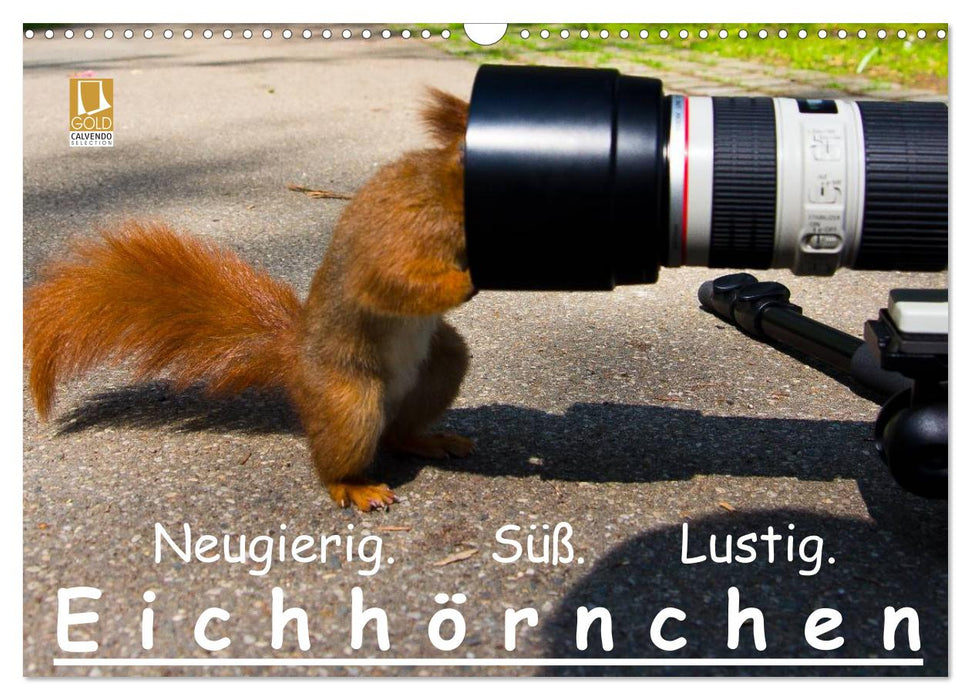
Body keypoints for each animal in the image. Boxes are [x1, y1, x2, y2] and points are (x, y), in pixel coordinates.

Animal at [23, 88, 475, 512]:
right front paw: (466, 280)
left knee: (399, 432)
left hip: (441, 366)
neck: (447, 189)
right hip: (349, 395)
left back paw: (430, 441)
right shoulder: (404, 227)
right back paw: (353, 485)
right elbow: (388, 282)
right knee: (343, 451)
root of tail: (295, 358)